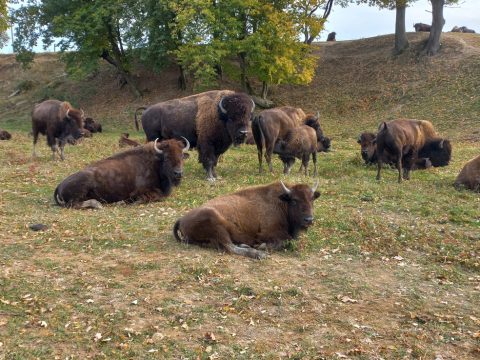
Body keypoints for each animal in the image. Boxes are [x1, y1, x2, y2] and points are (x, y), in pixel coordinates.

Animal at [54, 139, 189, 211]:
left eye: (182, 156)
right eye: (166, 157)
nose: (178, 173)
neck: (156, 163)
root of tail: (59, 185)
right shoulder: (141, 191)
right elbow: (154, 196)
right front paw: (123, 203)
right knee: (74, 204)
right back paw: (98, 204)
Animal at [172, 181, 318, 260]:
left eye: (312, 199)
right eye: (294, 200)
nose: (309, 219)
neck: (282, 203)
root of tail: (181, 219)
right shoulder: (268, 233)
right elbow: (285, 241)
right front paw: (261, 247)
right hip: (216, 225)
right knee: (229, 247)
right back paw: (259, 254)